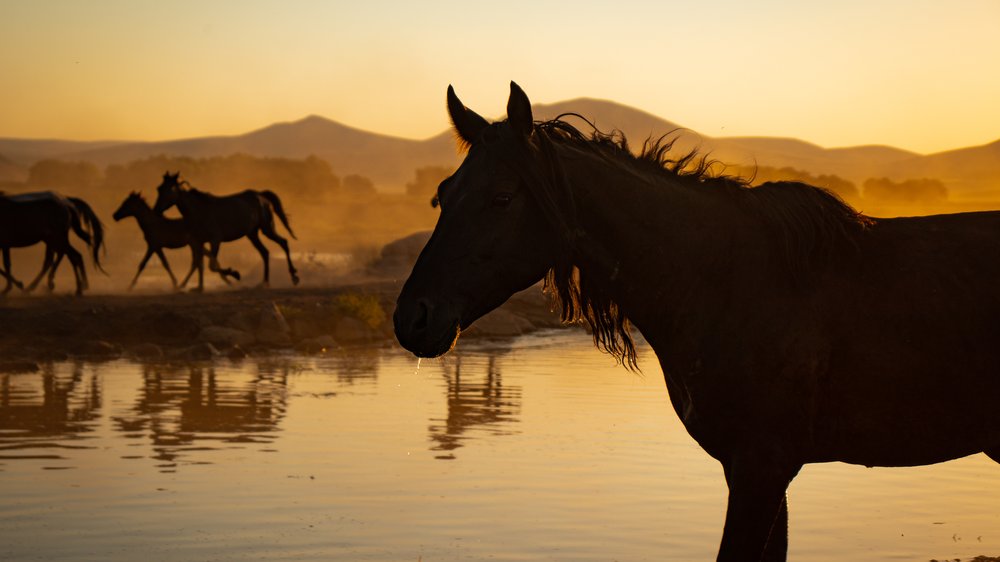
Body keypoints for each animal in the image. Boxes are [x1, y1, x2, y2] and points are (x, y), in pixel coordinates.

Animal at [148, 172, 296, 290]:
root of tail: (260, 196)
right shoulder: (199, 242)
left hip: (266, 229)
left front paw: (235, 274)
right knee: (265, 252)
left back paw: (294, 276)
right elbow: (199, 263)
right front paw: (196, 287)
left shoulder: (215, 240)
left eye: (170, 189)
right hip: (252, 234)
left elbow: (211, 265)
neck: (199, 211)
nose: (156, 211)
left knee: (283, 242)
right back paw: (264, 283)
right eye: (159, 188)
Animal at [392, 83, 1000, 560]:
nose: (412, 317)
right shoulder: (758, 472)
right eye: (443, 195)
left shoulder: (761, 468)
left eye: (501, 197)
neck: (723, 283)